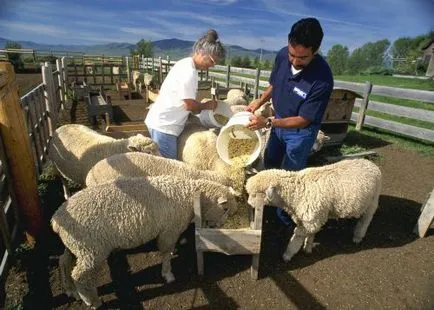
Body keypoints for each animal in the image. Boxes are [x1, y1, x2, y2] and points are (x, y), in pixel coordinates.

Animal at [53, 176, 241, 308]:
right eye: (224, 209)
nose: (221, 225)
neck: (188, 195)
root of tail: (56, 219)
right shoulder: (169, 230)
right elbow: (165, 252)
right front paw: (168, 274)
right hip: (91, 250)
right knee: (80, 276)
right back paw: (91, 301)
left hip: (77, 246)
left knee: (64, 261)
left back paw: (71, 290)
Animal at [246, 159, 382, 262]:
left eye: (255, 194)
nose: (249, 204)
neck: (297, 191)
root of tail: (372, 164)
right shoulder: (311, 218)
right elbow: (311, 234)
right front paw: (308, 247)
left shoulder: (311, 220)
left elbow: (297, 238)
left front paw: (287, 255)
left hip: (373, 201)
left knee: (365, 220)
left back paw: (358, 237)